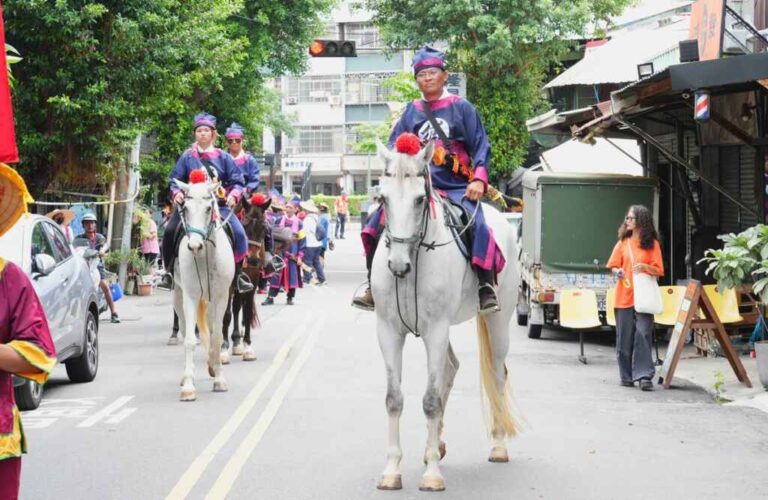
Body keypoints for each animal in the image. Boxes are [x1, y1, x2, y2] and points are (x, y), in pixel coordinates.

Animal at [173, 178, 236, 400]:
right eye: (185, 208)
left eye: (209, 208)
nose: (194, 246)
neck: (205, 257)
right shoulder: (190, 296)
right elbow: (190, 340)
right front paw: (188, 386)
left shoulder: (221, 297)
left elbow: (217, 337)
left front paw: (219, 379)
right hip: (179, 295)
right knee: (185, 328)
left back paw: (212, 366)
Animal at [372, 141, 520, 492]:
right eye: (383, 199)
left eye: (419, 199)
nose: (397, 265)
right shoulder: (388, 331)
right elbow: (394, 398)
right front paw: (392, 470)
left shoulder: (435, 330)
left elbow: (430, 400)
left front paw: (431, 475)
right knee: (450, 370)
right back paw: (436, 444)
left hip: (498, 321)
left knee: (497, 373)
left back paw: (498, 444)